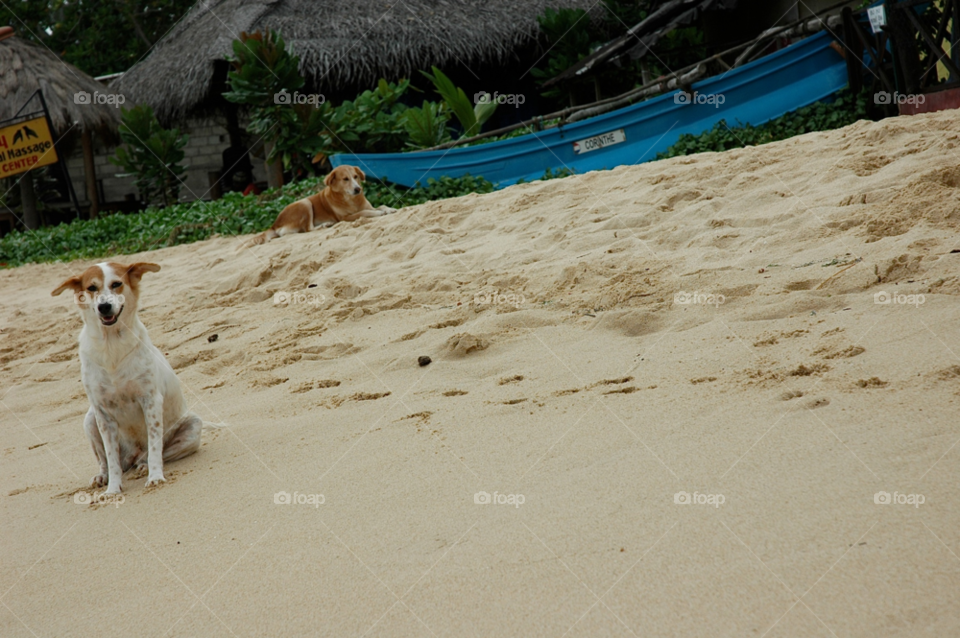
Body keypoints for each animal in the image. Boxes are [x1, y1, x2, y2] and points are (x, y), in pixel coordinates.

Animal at [53, 262, 202, 496]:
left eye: (116, 284)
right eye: (91, 288)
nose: (104, 307)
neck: (111, 344)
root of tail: (133, 456)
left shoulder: (151, 401)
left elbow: (155, 447)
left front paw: (155, 477)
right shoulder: (102, 412)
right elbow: (111, 459)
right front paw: (113, 490)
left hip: (194, 426)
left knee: (153, 453)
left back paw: (144, 466)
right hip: (89, 420)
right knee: (106, 461)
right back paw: (102, 477)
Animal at [249, 165, 400, 245]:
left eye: (355, 177)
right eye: (345, 179)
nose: (358, 189)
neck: (351, 200)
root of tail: (275, 224)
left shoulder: (368, 206)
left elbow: (381, 206)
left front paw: (390, 209)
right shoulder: (345, 218)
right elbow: (364, 213)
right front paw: (378, 213)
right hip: (305, 202)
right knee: (308, 228)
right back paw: (324, 225)